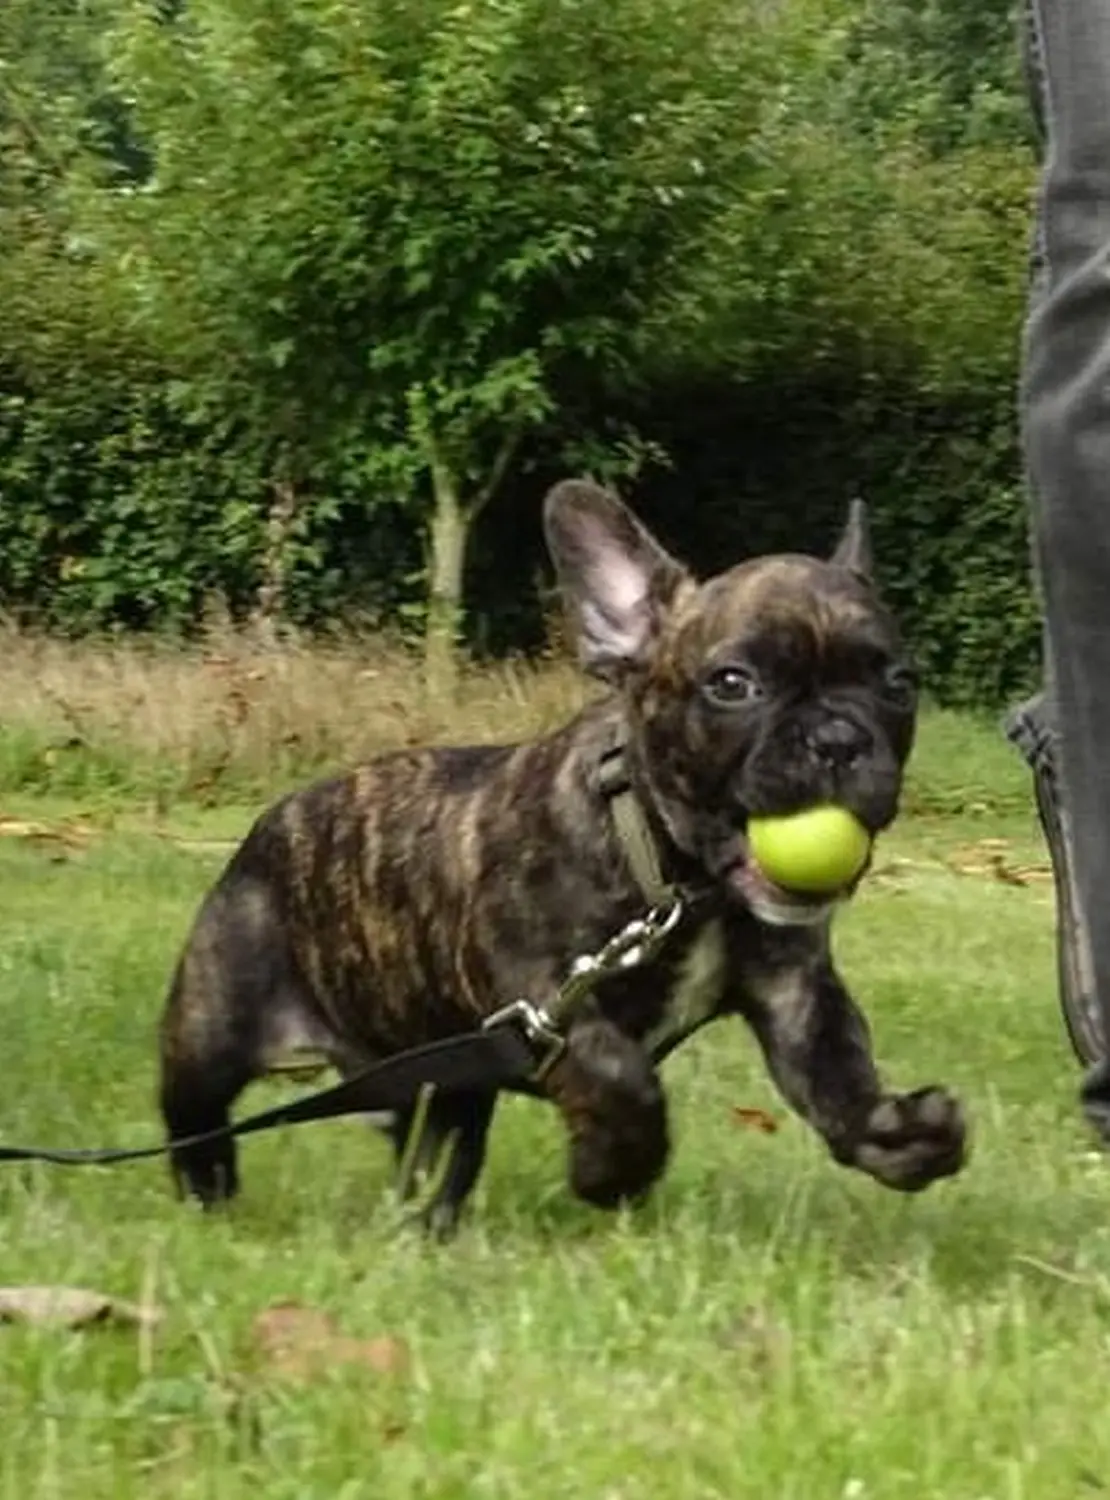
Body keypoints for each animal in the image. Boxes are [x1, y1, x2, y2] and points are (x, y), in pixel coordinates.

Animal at [160, 480, 966, 1230]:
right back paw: (209, 1192)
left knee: (438, 1149)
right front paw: (613, 1168)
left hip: (441, 1081)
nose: (838, 738)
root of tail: (265, 828)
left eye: (900, 685)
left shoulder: (794, 991)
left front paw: (897, 1133)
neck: (680, 880)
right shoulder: (541, 996)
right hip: (211, 1029)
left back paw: (426, 1229)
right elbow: (619, 1073)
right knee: (193, 1112)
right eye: (733, 684)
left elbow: (835, 1068)